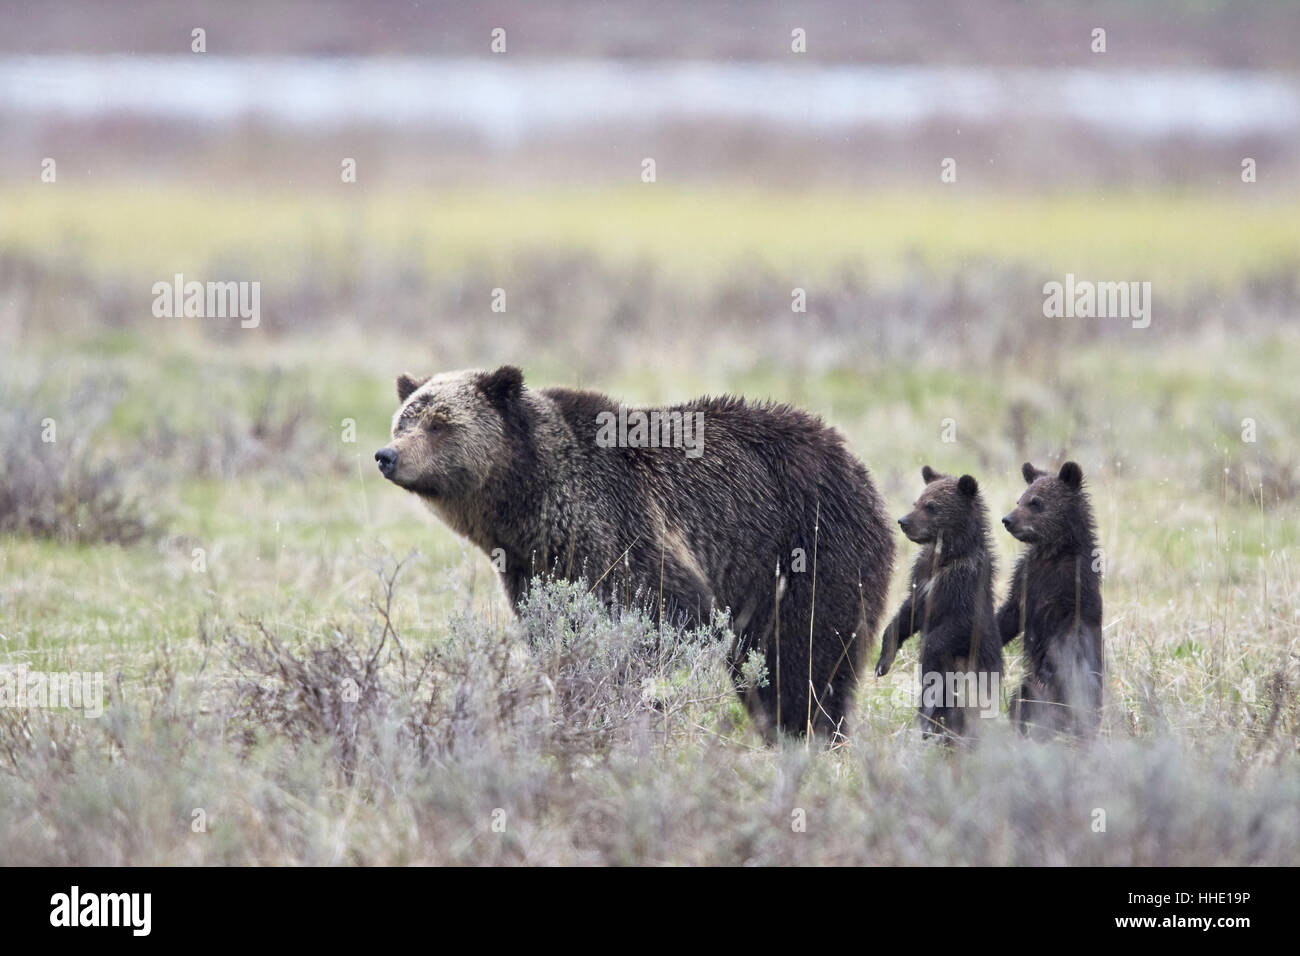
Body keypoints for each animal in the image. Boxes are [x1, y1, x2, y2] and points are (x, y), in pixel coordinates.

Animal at [377, 369, 894, 738]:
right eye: (404, 419)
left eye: (440, 423)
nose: (387, 455)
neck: (530, 502)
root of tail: (855, 462)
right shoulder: (534, 566)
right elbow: (556, 631)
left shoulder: (618, 524)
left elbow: (667, 608)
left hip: (810, 543)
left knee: (805, 652)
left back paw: (809, 729)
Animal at [998, 460, 1102, 738]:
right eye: (1020, 499)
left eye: (1036, 502)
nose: (1007, 520)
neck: (1051, 553)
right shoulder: (1026, 579)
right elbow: (1009, 614)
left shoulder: (1071, 590)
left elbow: (1064, 633)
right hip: (1028, 690)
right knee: (1020, 702)